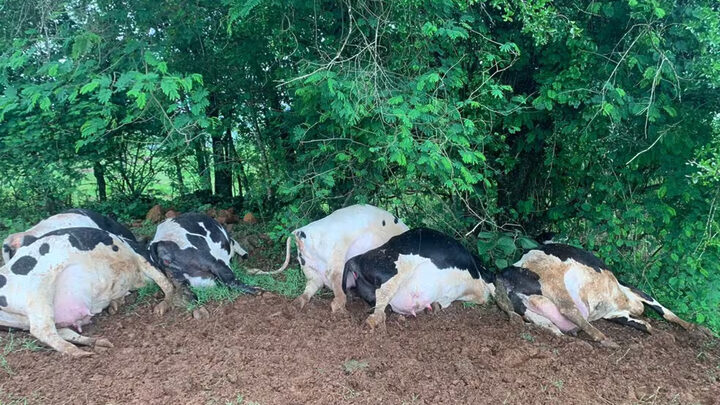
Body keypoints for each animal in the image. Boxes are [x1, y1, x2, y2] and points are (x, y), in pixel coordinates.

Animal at [0, 227, 178, 357]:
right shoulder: (142, 259)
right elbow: (166, 284)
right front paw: (160, 309)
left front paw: (115, 307)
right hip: (39, 293)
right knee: (42, 330)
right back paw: (81, 353)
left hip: (21, 321)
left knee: (58, 331)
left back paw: (100, 344)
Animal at [250, 204, 409, 313]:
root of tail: (300, 231)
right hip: (336, 254)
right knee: (333, 280)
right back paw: (340, 308)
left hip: (309, 267)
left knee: (312, 285)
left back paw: (296, 303)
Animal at [494, 242, 698, 348]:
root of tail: (503, 272)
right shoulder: (631, 289)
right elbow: (662, 309)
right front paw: (690, 327)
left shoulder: (617, 314)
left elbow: (646, 324)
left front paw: (664, 335)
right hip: (553, 280)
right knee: (569, 310)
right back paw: (607, 341)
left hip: (529, 310)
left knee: (552, 328)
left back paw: (577, 342)